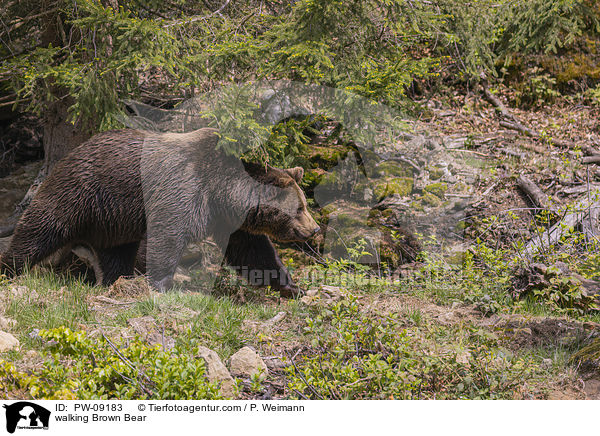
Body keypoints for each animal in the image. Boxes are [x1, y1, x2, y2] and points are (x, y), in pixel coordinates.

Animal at [0, 127, 318, 296]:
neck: (221, 192)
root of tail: (73, 151)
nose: (314, 229)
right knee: (39, 231)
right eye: (300, 207)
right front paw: (161, 285)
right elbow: (166, 237)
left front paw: (292, 287)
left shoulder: (228, 221)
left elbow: (254, 252)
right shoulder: (183, 191)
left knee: (115, 254)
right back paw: (9, 268)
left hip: (112, 222)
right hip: (80, 193)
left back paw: (116, 281)